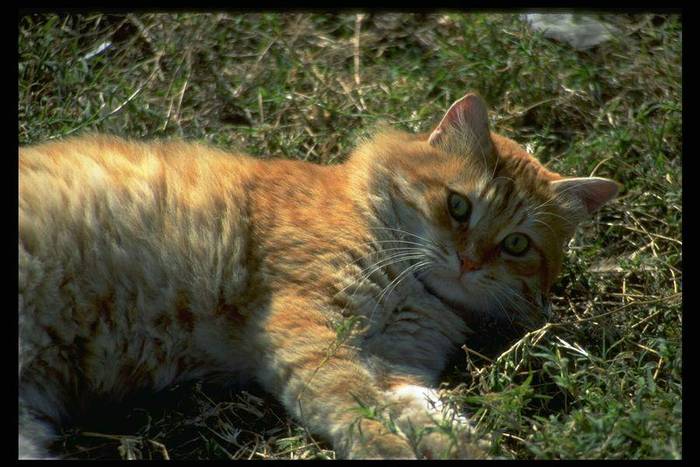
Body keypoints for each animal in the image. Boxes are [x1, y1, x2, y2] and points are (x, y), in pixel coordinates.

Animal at [17, 93, 616, 458]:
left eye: (516, 244)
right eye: (458, 206)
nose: (469, 262)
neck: (412, 290)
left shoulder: (398, 367)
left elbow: (436, 417)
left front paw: (467, 446)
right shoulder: (313, 332)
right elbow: (356, 410)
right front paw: (388, 447)